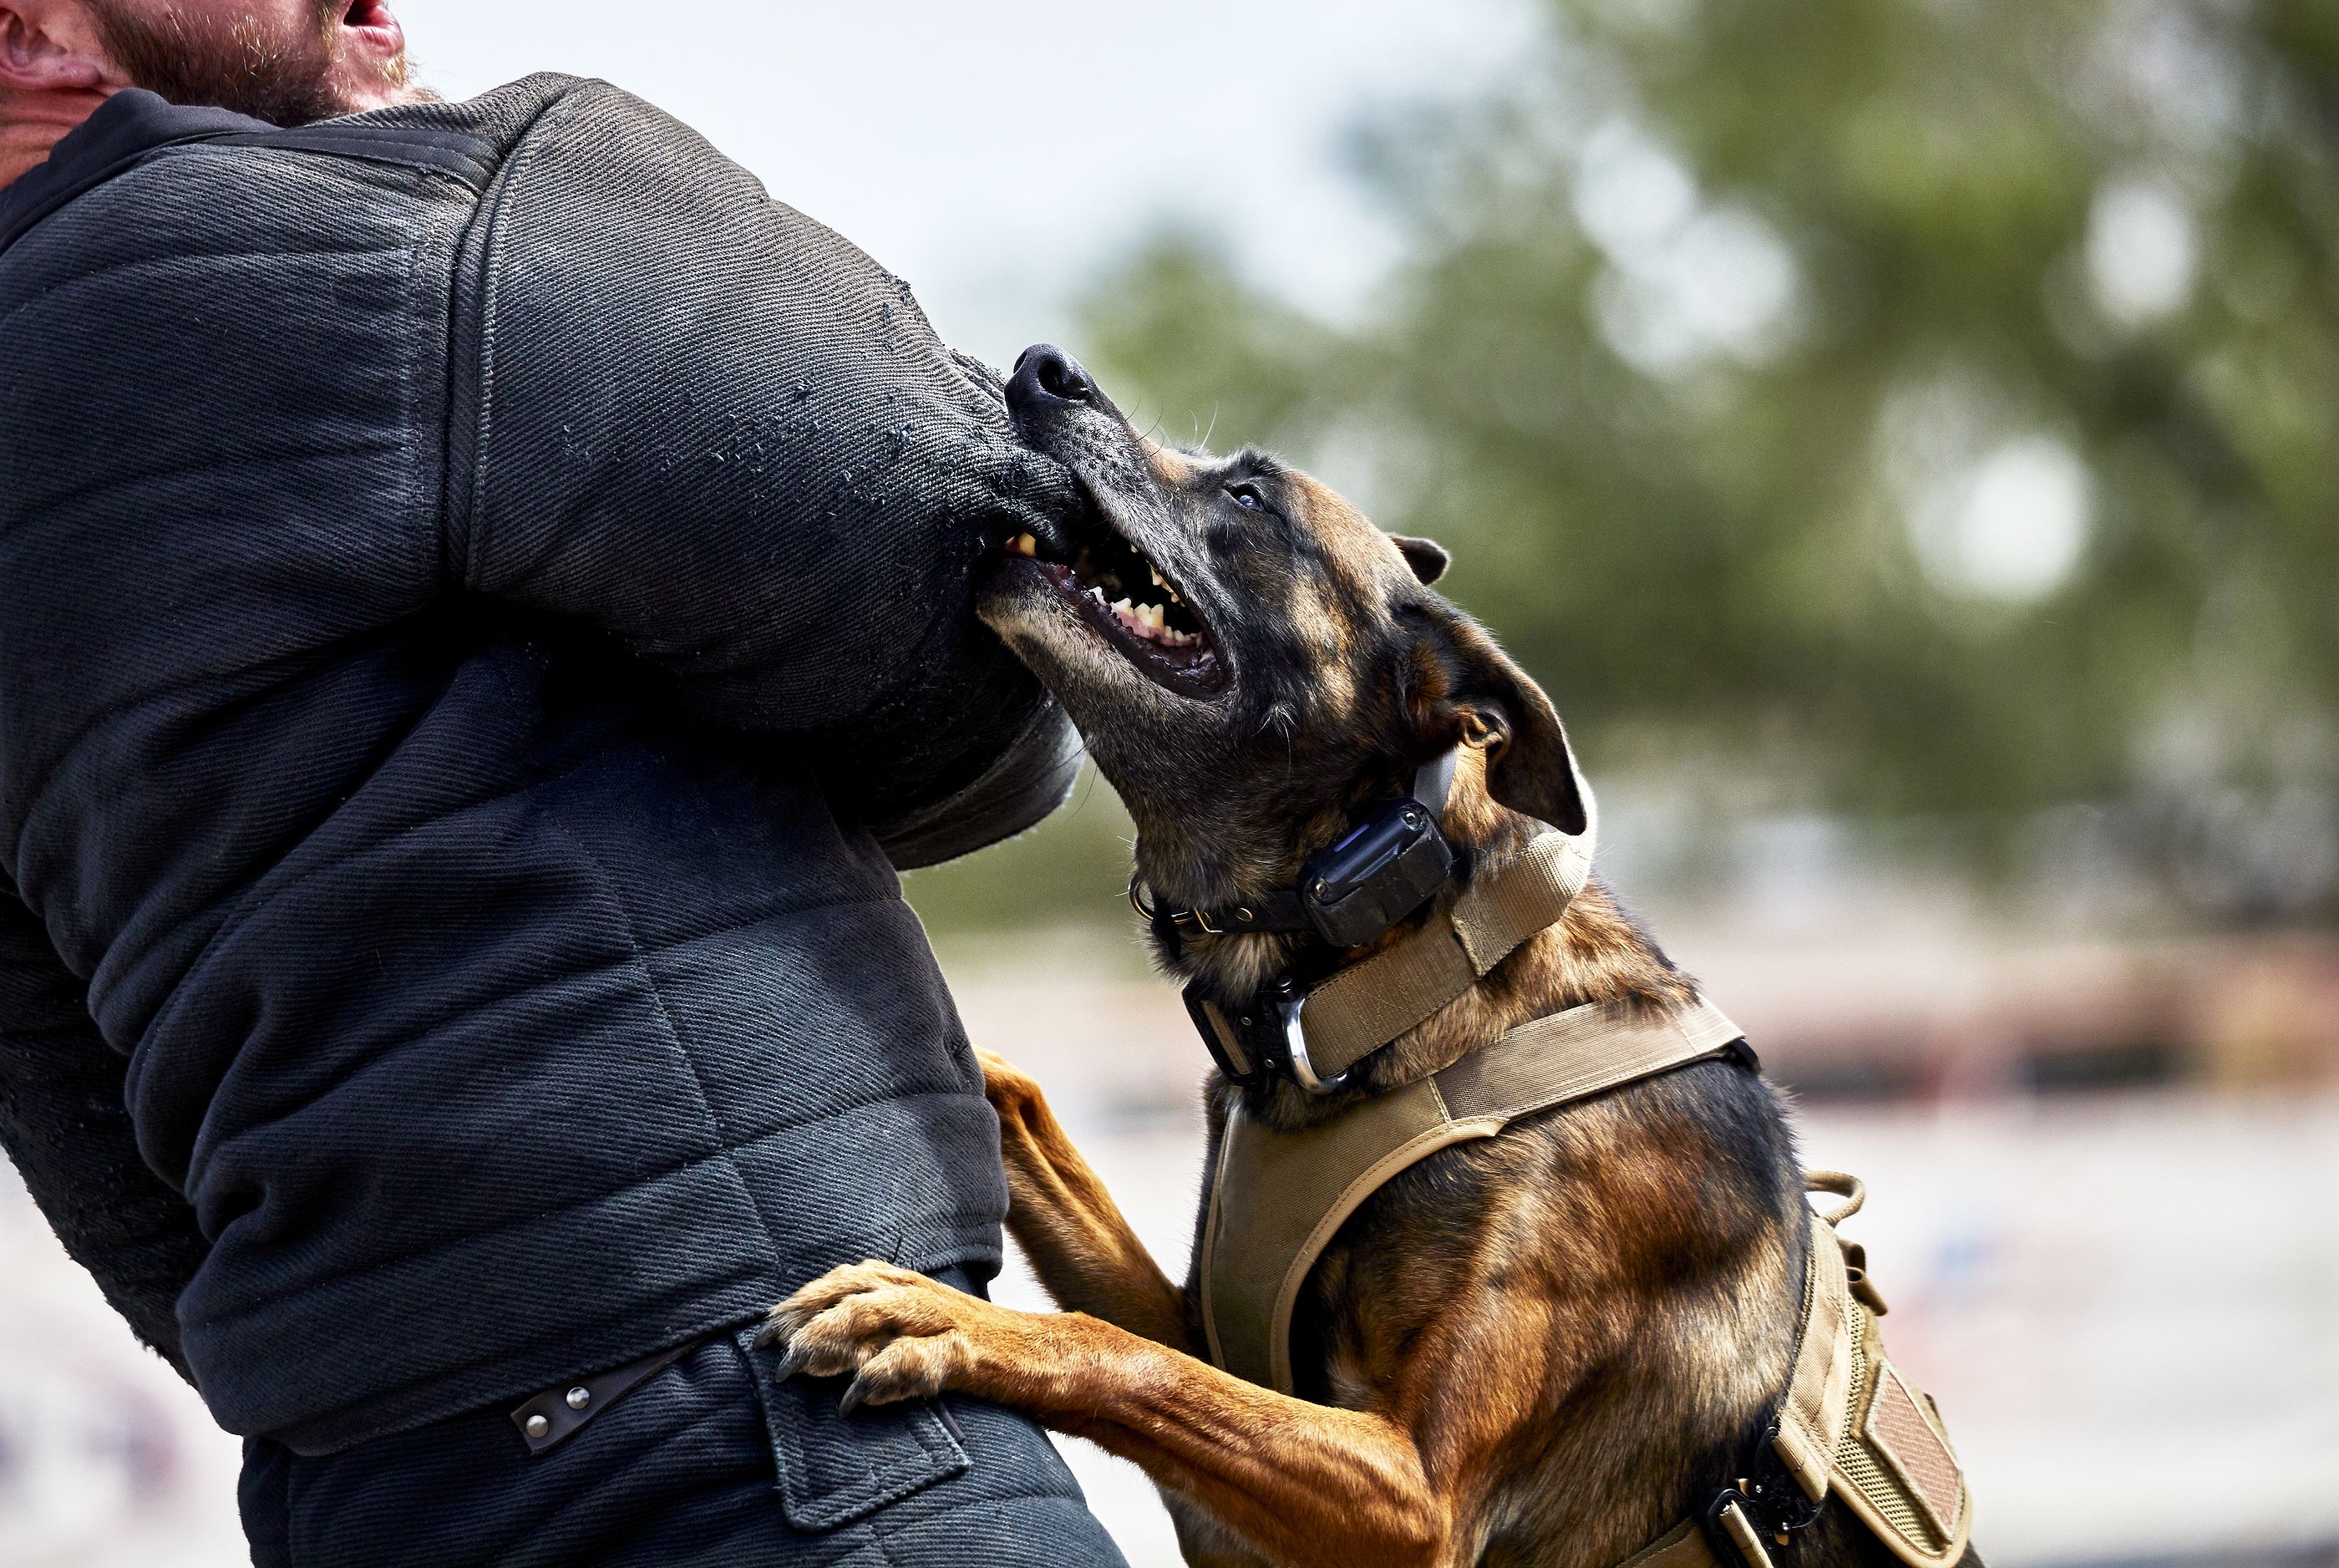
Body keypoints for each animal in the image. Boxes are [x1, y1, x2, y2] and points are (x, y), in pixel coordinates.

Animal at [772, 346, 1974, 1568]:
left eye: (1249, 495)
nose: (1039, 366)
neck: (1386, 978)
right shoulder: (1215, 1337)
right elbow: (1048, 1149)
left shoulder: (1411, 1495)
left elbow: (1134, 1362)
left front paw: (942, 1317)